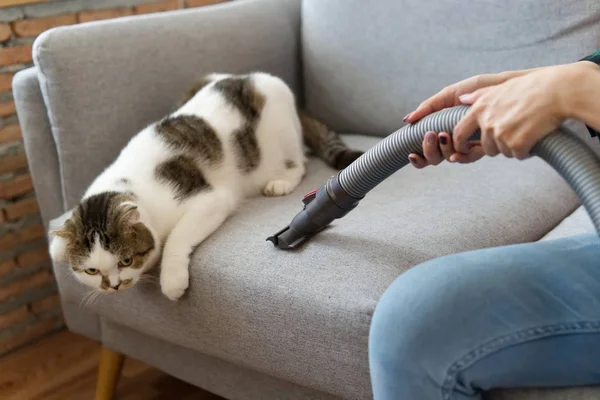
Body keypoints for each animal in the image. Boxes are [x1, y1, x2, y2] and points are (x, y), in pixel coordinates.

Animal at [48, 72, 360, 304]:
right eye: (91, 270)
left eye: (126, 260)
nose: (113, 286)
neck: (127, 183)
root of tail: (250, 75)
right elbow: (56, 243)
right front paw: (58, 247)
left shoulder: (212, 199)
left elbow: (177, 236)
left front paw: (172, 280)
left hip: (278, 121)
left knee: (299, 163)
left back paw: (281, 181)